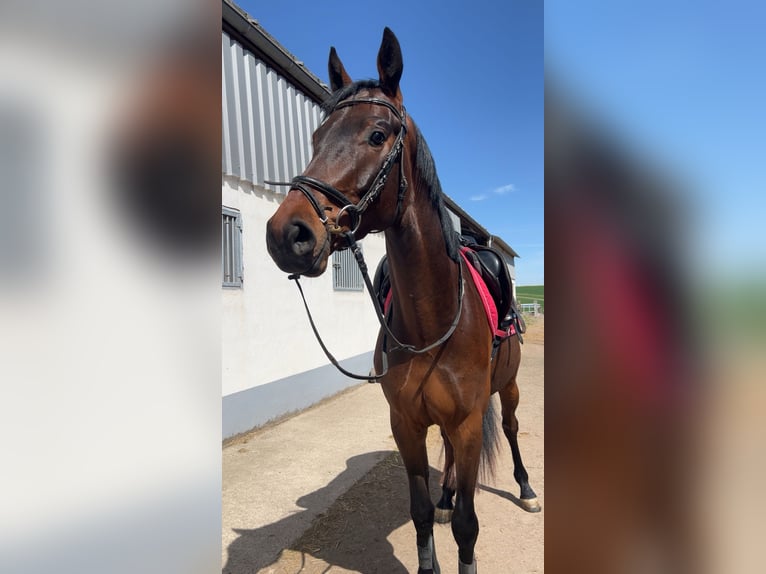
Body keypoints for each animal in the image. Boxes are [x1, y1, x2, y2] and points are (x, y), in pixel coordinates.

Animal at [265, 28, 539, 574]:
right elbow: (419, 512)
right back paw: (449, 493)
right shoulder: (407, 426)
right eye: (316, 139)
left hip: (510, 387)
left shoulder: (468, 424)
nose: (288, 234)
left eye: (377, 135)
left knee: (513, 428)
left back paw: (525, 488)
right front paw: (436, 521)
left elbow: (468, 527)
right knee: (449, 461)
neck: (432, 323)